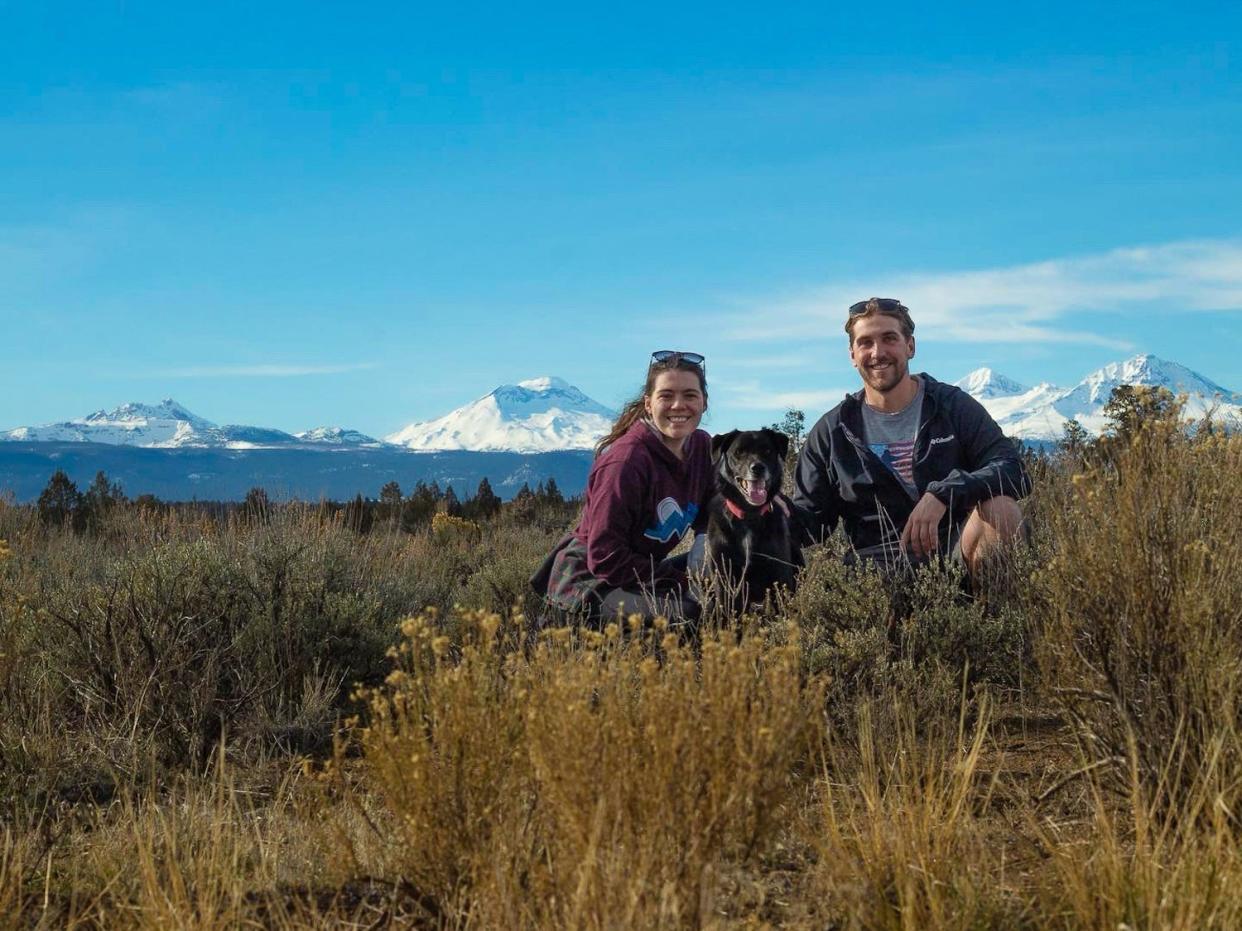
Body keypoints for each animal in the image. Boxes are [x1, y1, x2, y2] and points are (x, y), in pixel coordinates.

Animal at [705, 429, 799, 613]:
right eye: (738, 452)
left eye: (767, 451)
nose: (758, 468)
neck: (749, 514)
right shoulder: (724, 578)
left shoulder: (780, 575)